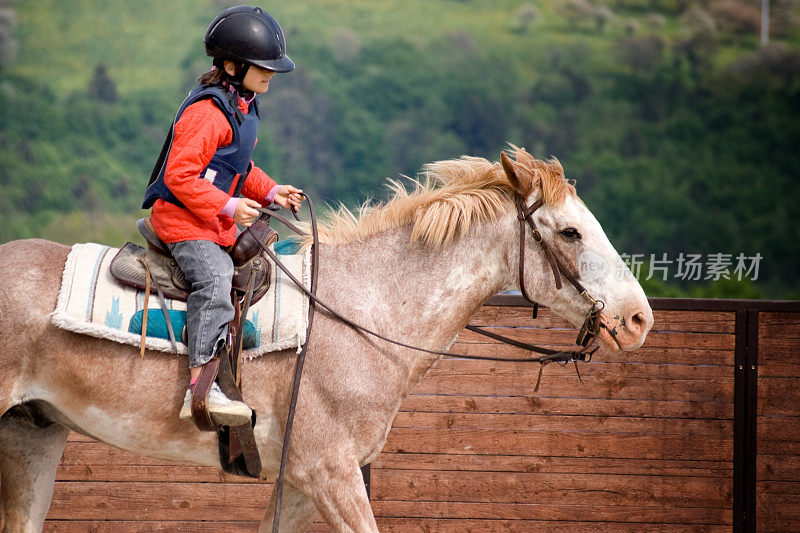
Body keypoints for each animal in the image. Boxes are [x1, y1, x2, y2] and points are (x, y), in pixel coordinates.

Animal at [0, 149, 652, 532]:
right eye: (569, 232)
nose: (639, 318)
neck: (364, 308)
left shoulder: (299, 482)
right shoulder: (331, 474)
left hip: (33, 435)